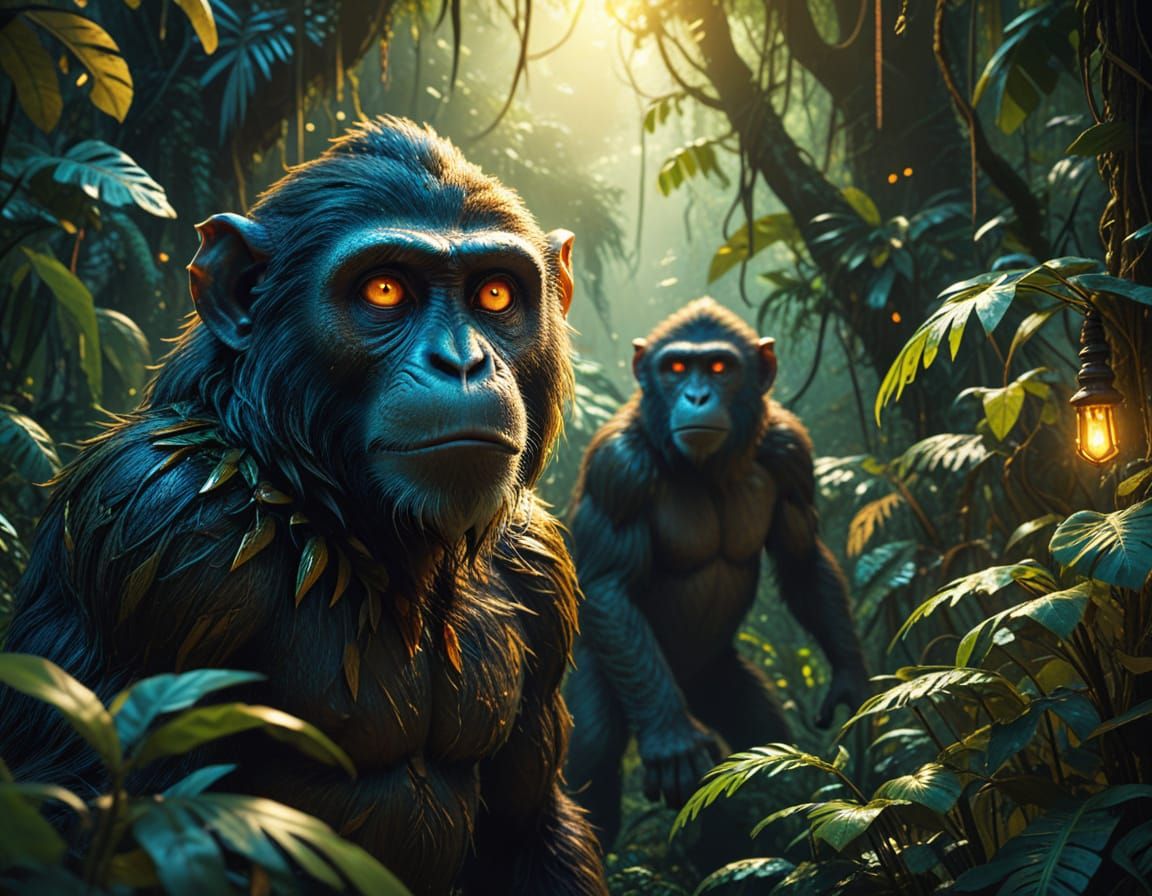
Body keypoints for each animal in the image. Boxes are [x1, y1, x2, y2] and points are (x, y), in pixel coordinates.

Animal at [0, 116, 607, 896]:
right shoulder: (163, 534)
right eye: (385, 289)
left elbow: (528, 828)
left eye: (496, 296)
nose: (462, 362)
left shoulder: (543, 573)